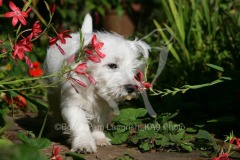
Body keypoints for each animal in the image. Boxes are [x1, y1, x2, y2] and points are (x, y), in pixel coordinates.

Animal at [43, 13, 150, 152]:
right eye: (112, 65)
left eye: (134, 69)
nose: (131, 88)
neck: (94, 87)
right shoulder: (73, 104)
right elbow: (80, 124)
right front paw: (84, 144)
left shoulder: (104, 106)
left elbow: (99, 122)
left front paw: (99, 138)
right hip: (53, 94)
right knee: (55, 111)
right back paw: (55, 132)